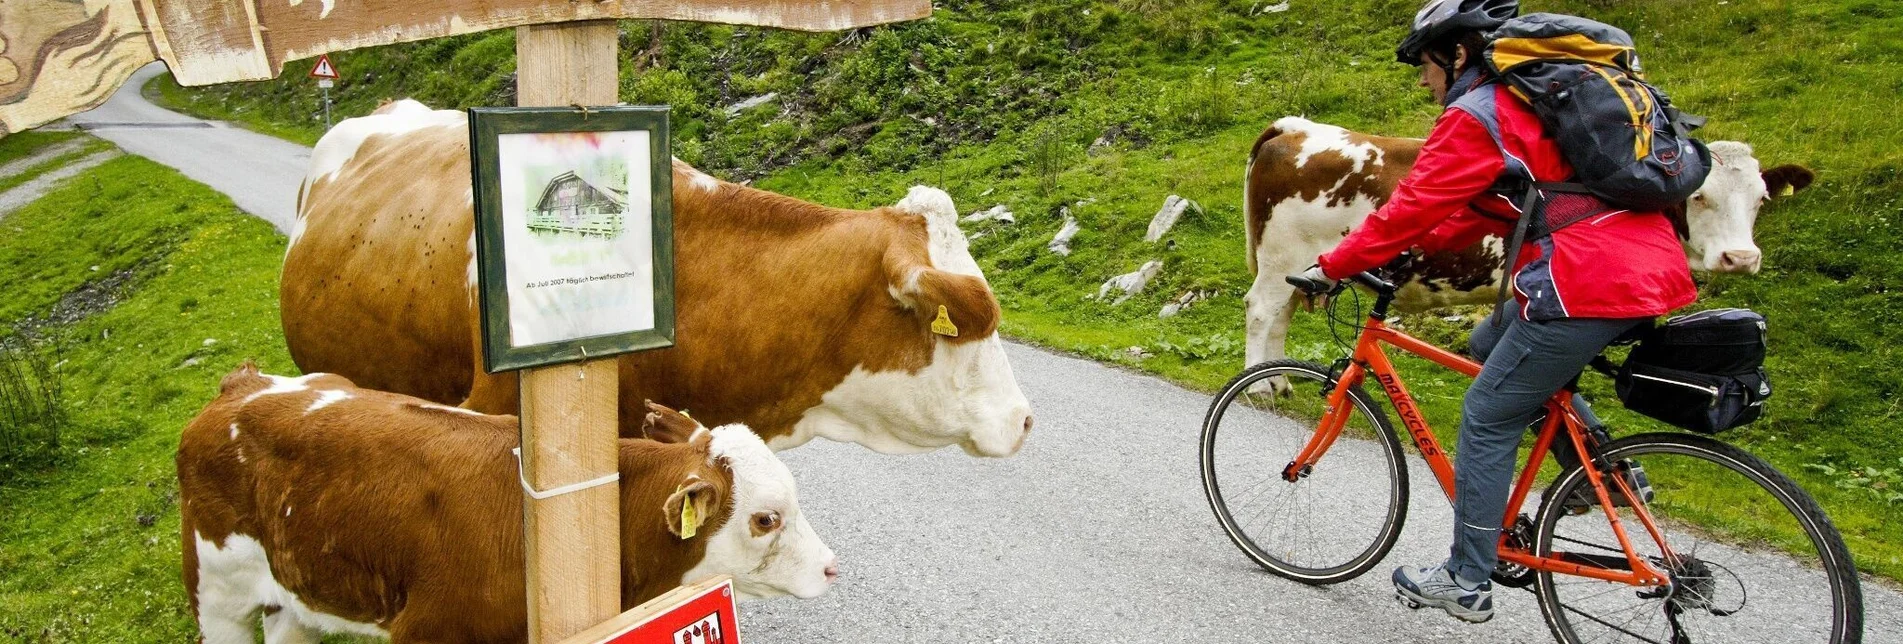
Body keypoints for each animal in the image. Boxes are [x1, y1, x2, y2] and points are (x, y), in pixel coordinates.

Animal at [178, 363, 833, 640]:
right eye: (766, 518)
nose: (832, 567)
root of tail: (240, 384)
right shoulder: (431, 632)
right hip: (216, 597)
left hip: (295, 595)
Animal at [1240, 117, 1819, 371]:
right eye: (1699, 196)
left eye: (1762, 198)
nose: (1741, 258)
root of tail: (1296, 128)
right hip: (1280, 259)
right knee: (1262, 310)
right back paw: (1262, 383)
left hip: (1304, 267)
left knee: (1282, 313)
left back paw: (1280, 379)